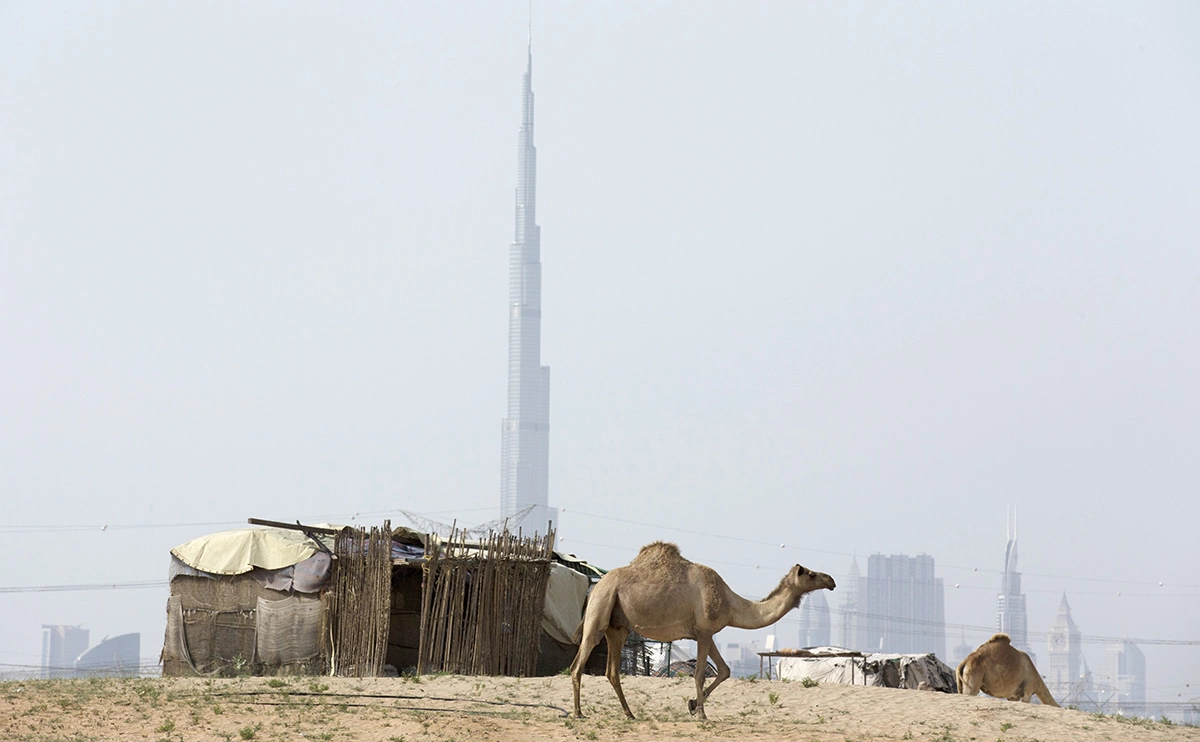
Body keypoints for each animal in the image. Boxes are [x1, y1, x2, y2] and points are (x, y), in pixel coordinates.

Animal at [568, 540, 835, 720]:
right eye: (811, 574)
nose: (831, 580)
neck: (730, 603)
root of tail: (597, 585)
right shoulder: (705, 632)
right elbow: (699, 673)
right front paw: (702, 714)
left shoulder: (705, 633)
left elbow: (725, 670)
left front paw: (692, 704)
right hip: (601, 607)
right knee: (579, 662)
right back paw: (578, 712)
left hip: (618, 626)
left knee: (612, 671)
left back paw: (629, 713)